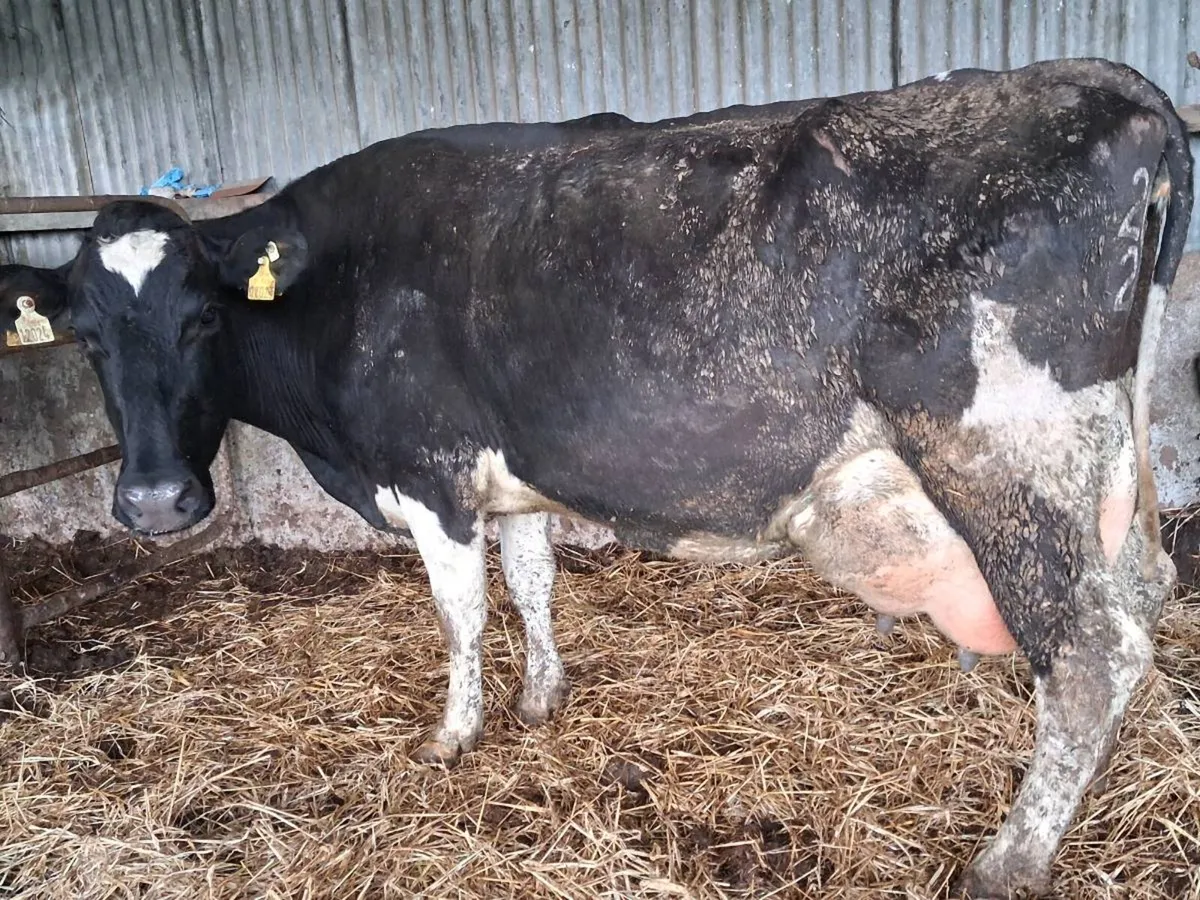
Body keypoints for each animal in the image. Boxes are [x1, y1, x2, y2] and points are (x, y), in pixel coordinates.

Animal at [1, 58, 1192, 897]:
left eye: (202, 320)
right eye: (90, 339)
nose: (154, 502)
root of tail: (1102, 84)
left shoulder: (430, 476)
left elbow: (462, 613)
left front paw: (455, 735)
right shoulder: (516, 475)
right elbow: (531, 584)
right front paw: (541, 700)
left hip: (1009, 457)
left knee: (1089, 648)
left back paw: (1009, 861)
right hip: (1111, 454)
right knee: (1146, 596)